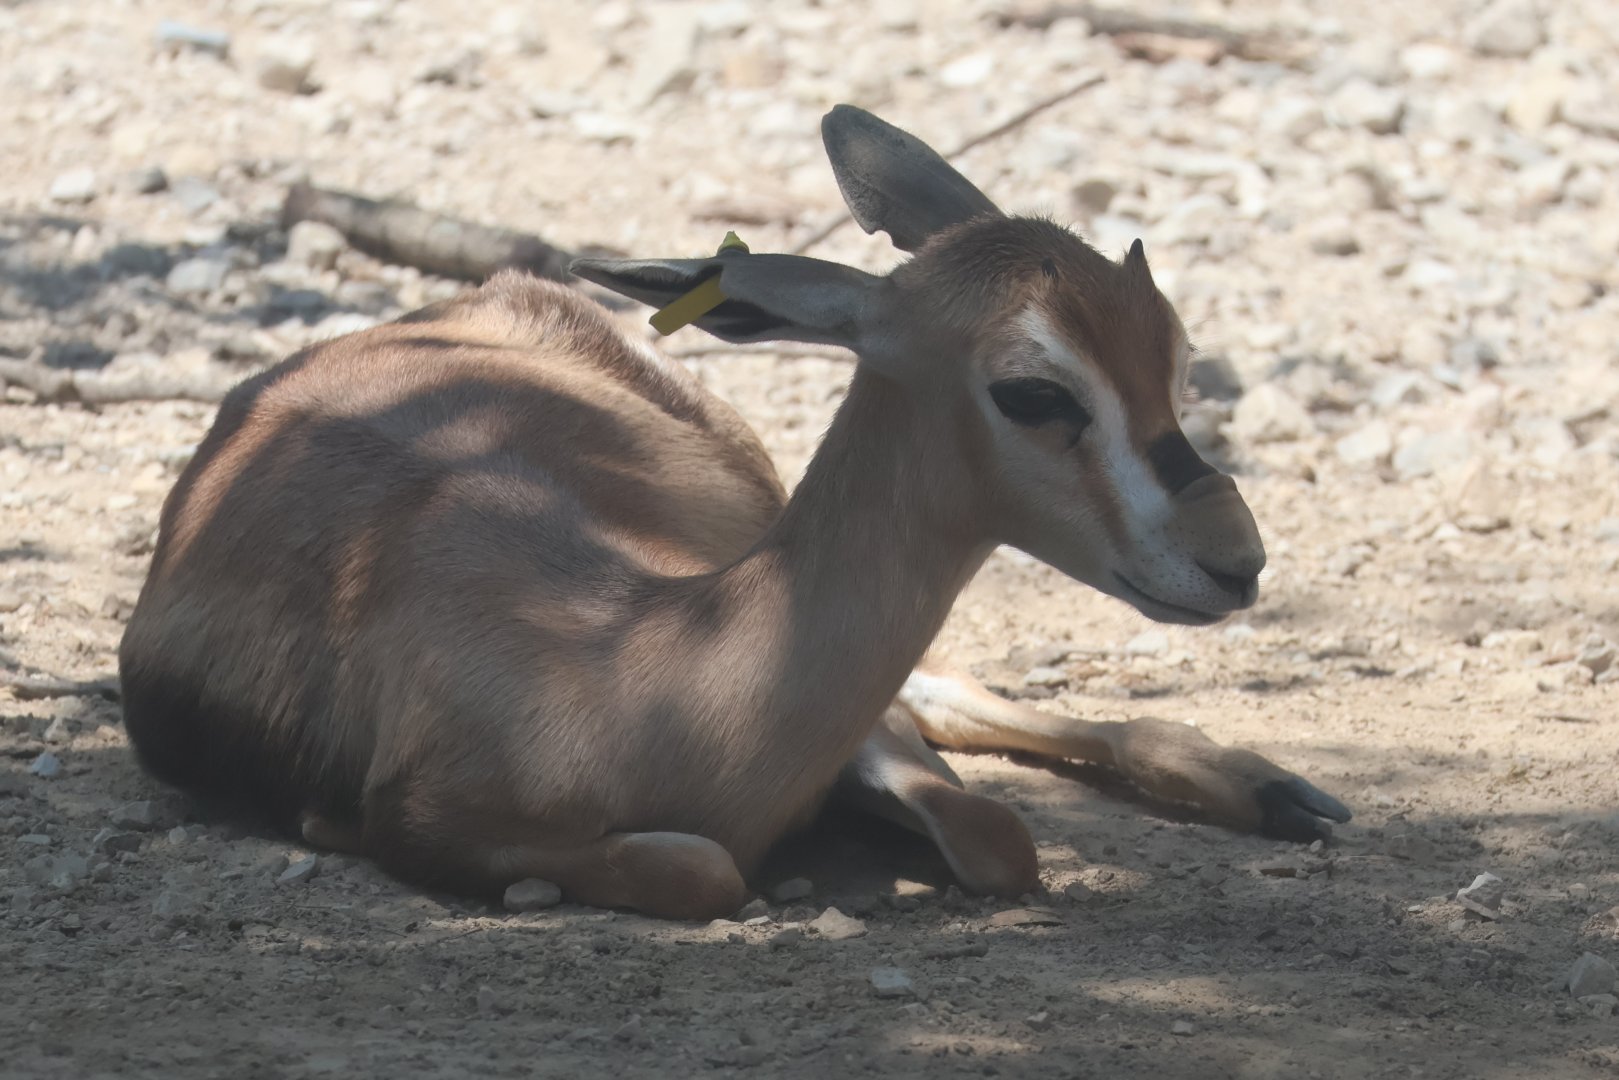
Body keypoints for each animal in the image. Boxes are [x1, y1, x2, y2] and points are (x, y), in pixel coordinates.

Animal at [117, 105, 1349, 920]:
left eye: (1173, 355)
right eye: (1034, 390)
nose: (1232, 560)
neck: (628, 674)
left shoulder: (857, 739)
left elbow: (993, 830)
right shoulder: (451, 821)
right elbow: (706, 867)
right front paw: (324, 823)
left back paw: (1285, 793)